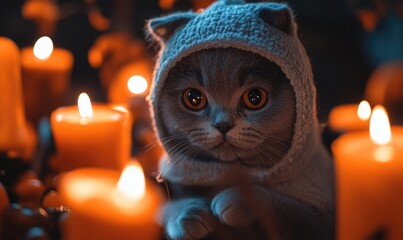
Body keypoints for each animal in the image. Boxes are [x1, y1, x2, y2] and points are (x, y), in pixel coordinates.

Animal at [147, 0, 336, 239]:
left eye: (255, 97)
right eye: (193, 98)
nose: (223, 125)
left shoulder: (323, 218)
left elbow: (289, 209)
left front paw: (238, 200)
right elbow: (165, 206)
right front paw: (188, 216)